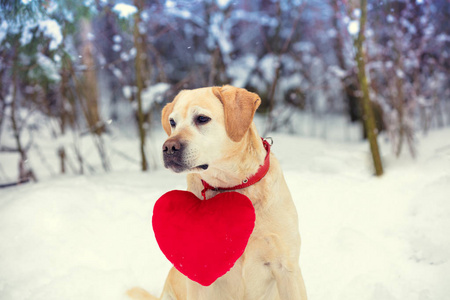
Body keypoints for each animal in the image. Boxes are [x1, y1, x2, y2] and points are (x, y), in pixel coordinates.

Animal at [128, 85, 308, 300]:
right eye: (172, 122)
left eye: (202, 119)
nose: (169, 147)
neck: (232, 187)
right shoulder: (198, 272)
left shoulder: (286, 267)